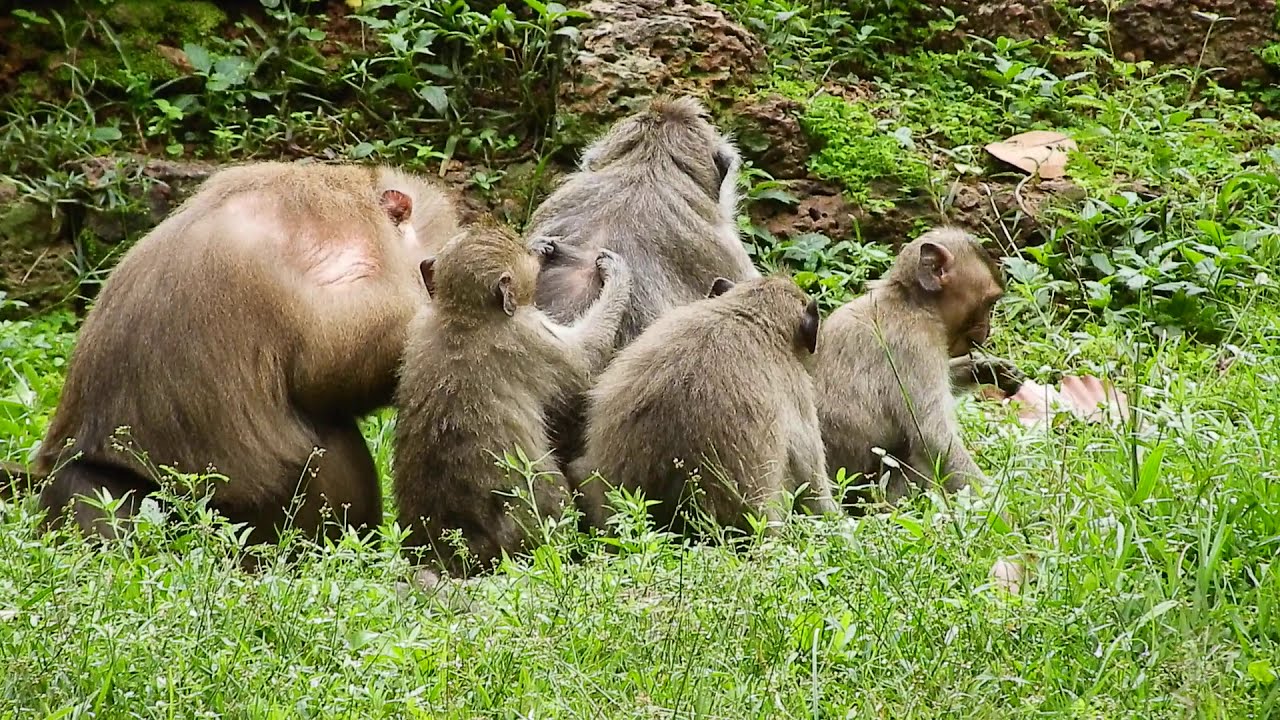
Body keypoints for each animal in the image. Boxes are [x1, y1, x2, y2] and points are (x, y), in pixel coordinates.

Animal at [392, 220, 632, 577]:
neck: (463, 315)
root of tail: (448, 554)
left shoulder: (420, 324)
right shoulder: (528, 334)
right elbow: (584, 360)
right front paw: (617, 278)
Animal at [814, 227, 1011, 509]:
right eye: (989, 303)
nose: (989, 329)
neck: (912, 302)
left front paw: (988, 369)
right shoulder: (916, 344)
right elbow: (932, 436)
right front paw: (998, 509)